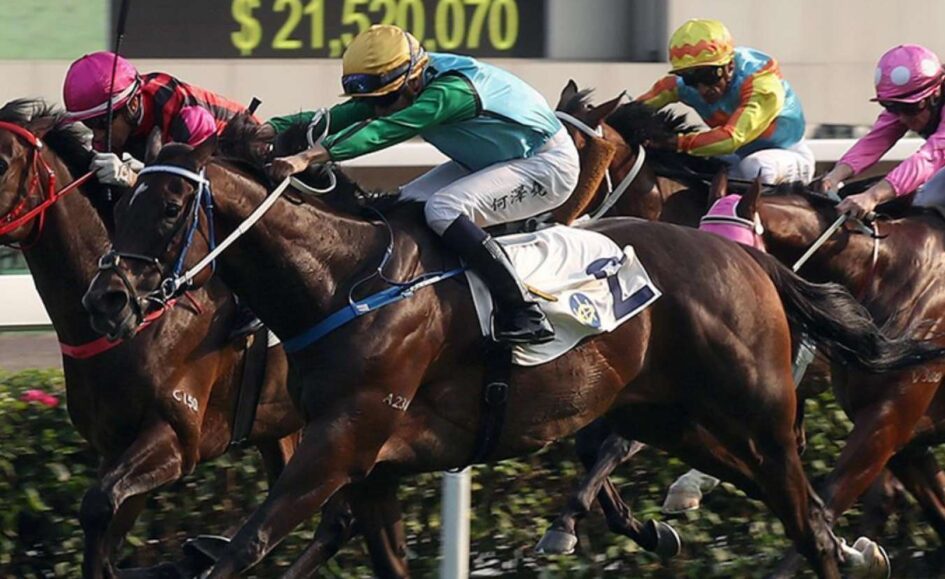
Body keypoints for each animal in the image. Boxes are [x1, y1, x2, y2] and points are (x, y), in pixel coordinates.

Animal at [0, 99, 308, 579]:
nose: (106, 303)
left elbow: (97, 505)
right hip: (281, 425)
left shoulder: (177, 438)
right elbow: (104, 530)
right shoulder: (116, 446)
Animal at [81, 125, 945, 578]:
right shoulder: (368, 465)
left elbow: (244, 544)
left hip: (757, 415)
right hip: (678, 420)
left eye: (168, 206)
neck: (343, 281)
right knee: (791, 505)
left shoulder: (338, 443)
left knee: (807, 514)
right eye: (121, 198)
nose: (109, 298)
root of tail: (747, 256)